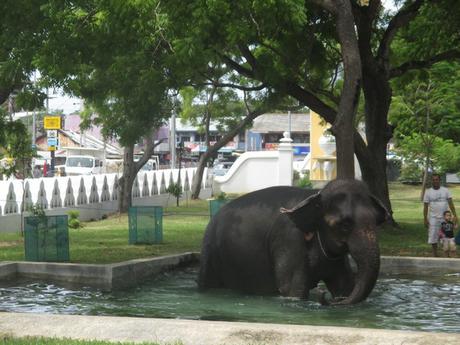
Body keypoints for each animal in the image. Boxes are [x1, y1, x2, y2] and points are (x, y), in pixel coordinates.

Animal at [198, 179, 388, 306]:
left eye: (376, 222)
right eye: (345, 225)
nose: (323, 295)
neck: (315, 195)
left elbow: (343, 283)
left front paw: (341, 295)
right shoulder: (289, 238)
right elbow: (292, 288)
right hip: (210, 252)